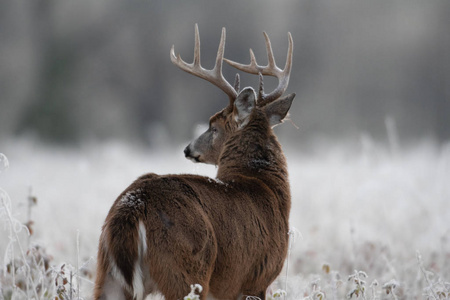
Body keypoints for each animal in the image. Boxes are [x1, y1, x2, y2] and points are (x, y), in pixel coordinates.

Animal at [93, 25, 294, 300]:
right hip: (187, 268)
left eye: (213, 126)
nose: (188, 149)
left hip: (108, 273)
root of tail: (133, 207)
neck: (265, 187)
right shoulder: (257, 278)